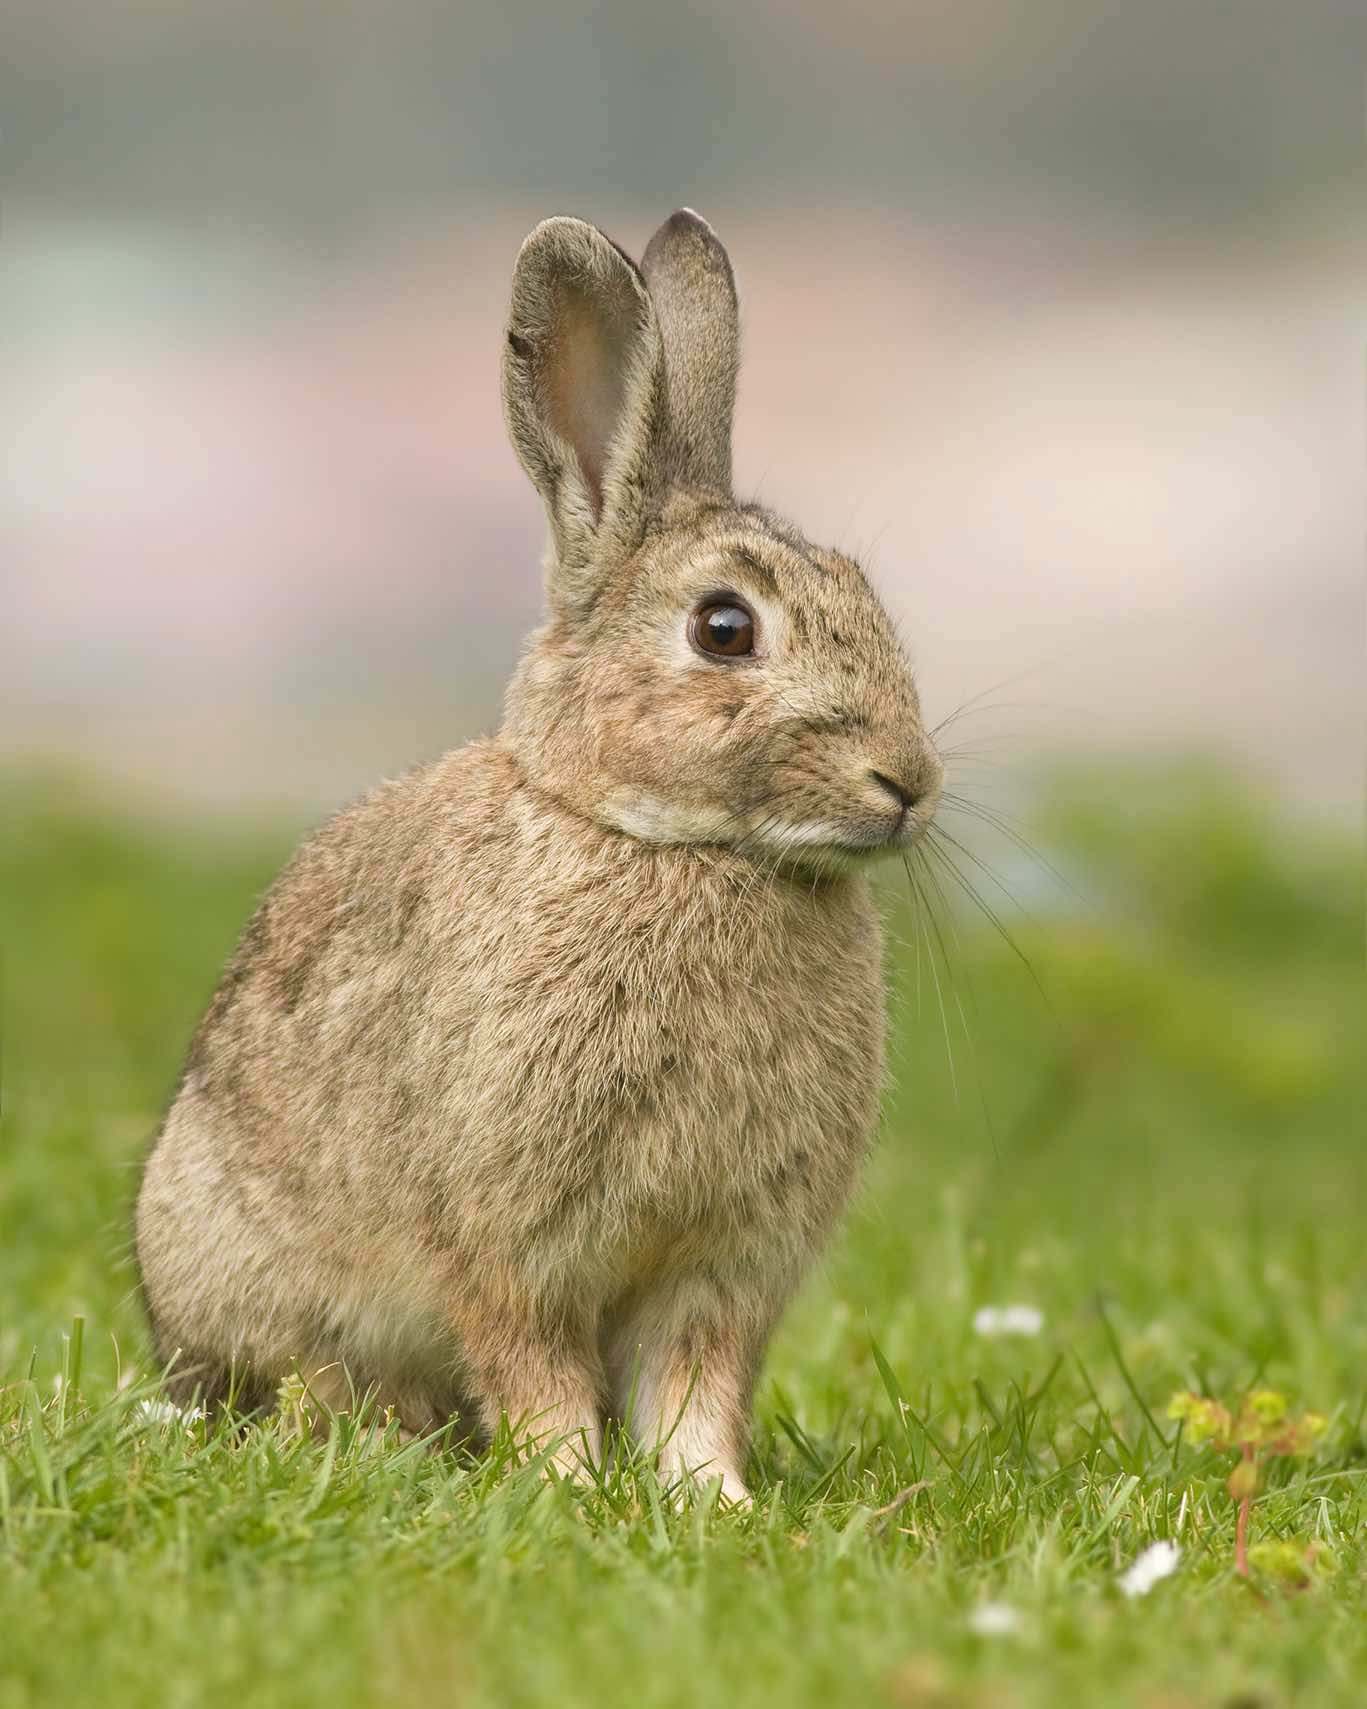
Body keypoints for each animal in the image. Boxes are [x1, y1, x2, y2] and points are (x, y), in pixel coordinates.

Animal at [135, 209, 943, 1502]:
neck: (666, 842)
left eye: (863, 591)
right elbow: (532, 1363)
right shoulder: (506, 1238)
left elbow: (695, 1382)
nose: (905, 783)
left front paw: (709, 1499)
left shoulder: (722, 1264)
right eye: (724, 628)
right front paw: (566, 1483)